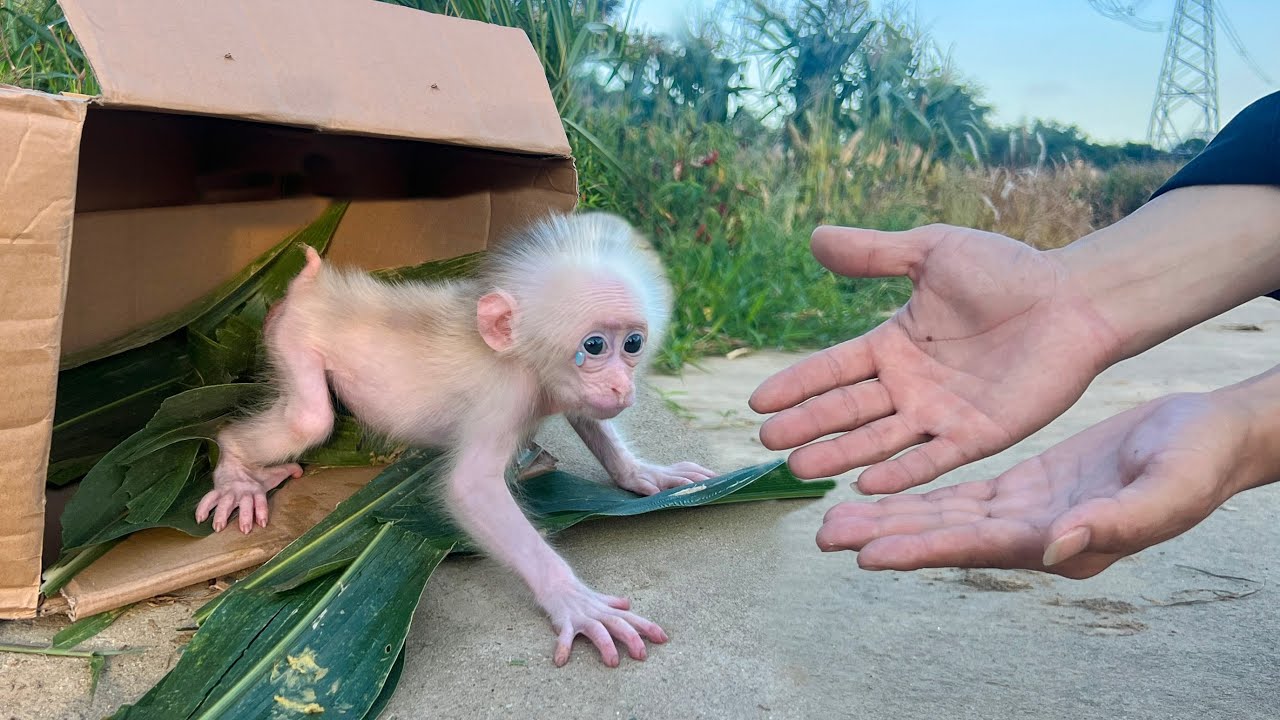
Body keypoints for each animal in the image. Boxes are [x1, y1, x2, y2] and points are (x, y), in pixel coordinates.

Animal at [193, 210, 717, 667]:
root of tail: (315, 286)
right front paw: (572, 599)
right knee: (309, 420)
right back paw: (237, 471)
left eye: (632, 344)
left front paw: (644, 473)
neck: (521, 359)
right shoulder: (508, 394)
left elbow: (590, 420)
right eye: (593, 346)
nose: (621, 388)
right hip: (291, 337)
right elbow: (470, 488)